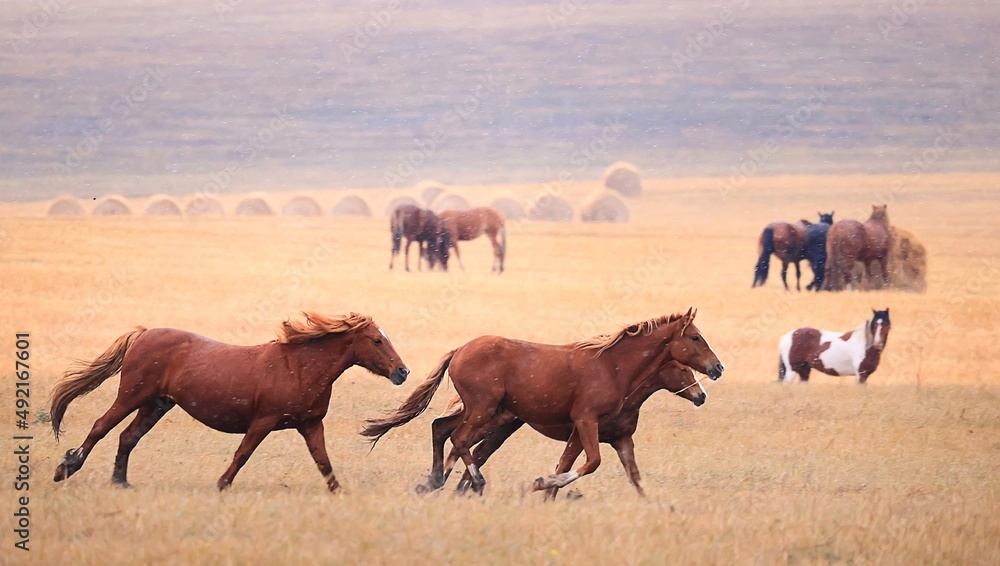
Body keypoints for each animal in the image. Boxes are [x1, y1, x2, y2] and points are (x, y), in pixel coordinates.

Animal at [50, 312, 409, 491]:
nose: (402, 371)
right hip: (132, 396)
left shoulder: (310, 424)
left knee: (128, 436)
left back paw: (121, 482)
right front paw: (222, 484)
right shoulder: (264, 421)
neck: (300, 367)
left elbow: (323, 461)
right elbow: (243, 453)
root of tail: (144, 333)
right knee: (101, 427)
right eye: (377, 340)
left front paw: (338, 492)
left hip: (156, 404)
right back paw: (65, 468)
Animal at [424, 361, 707, 498]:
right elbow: (565, 469)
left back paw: (448, 487)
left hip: (498, 427)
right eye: (684, 369)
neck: (625, 394)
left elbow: (635, 479)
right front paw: (541, 490)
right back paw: (444, 485)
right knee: (456, 438)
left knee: (467, 445)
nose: (701, 396)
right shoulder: (582, 434)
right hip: (490, 420)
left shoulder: (621, 439)